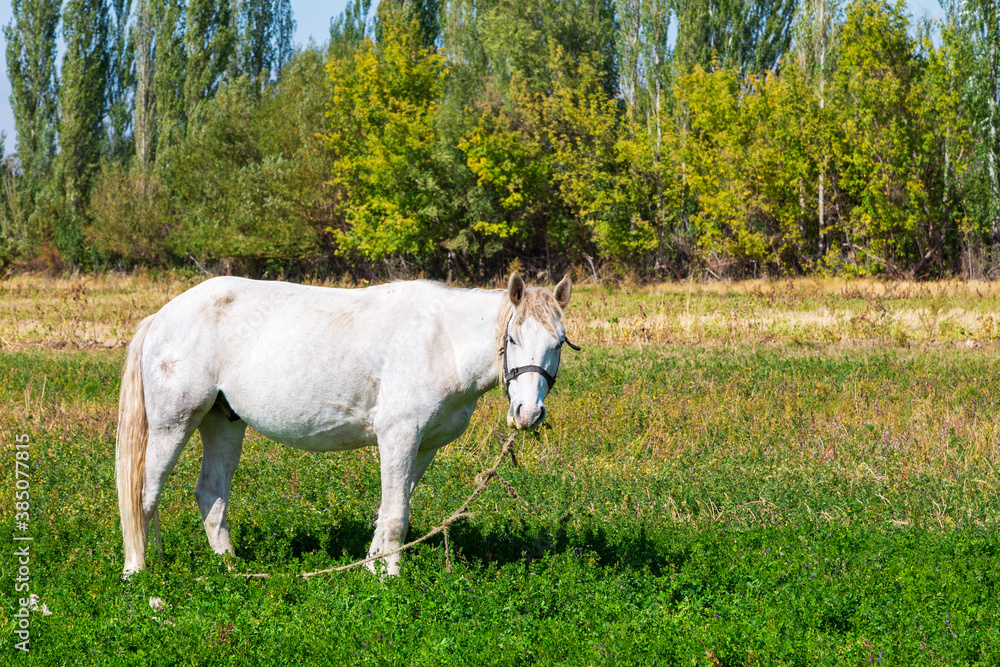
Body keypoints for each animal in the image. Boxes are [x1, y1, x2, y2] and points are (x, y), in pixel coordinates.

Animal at [116, 272, 574, 576]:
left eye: (558, 343)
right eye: (513, 339)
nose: (528, 413)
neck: (443, 342)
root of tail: (162, 316)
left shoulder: (423, 446)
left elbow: (392, 507)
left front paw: (372, 567)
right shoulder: (398, 436)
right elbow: (396, 514)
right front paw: (390, 579)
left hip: (223, 423)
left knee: (210, 494)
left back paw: (230, 567)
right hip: (173, 425)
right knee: (144, 494)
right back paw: (140, 571)